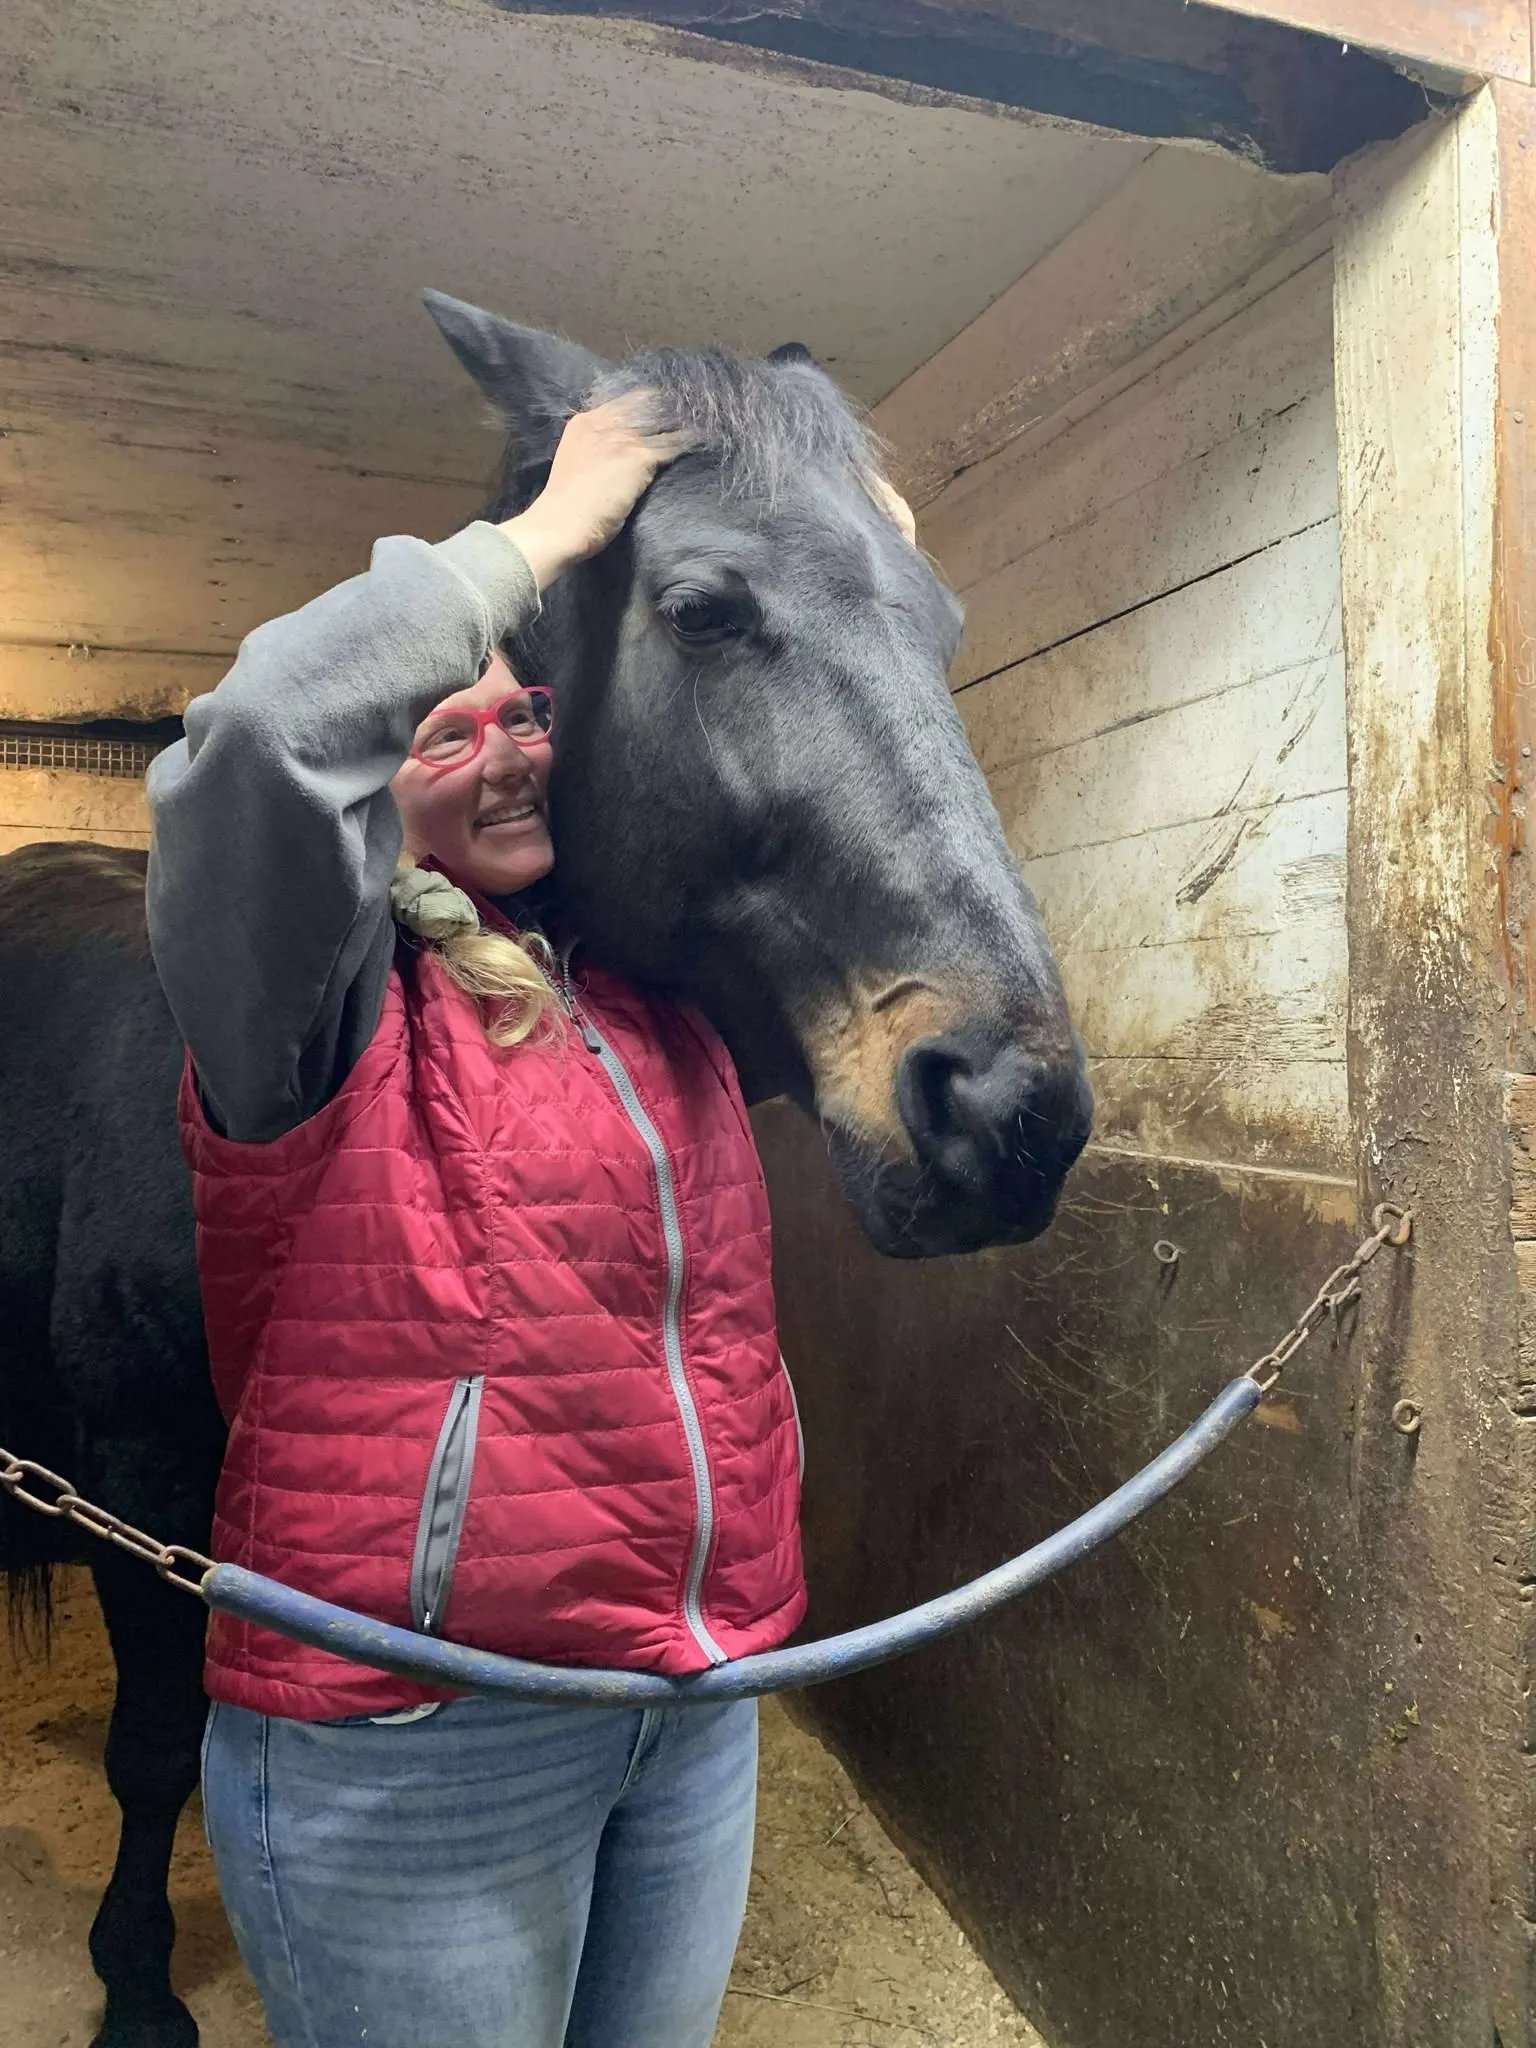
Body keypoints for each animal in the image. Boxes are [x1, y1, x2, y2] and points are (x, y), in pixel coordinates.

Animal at [0, 295, 1092, 2048]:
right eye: (705, 610)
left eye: (940, 624)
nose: (1011, 1110)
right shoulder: (141, 1484)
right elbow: (157, 1752)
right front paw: (138, 1991)